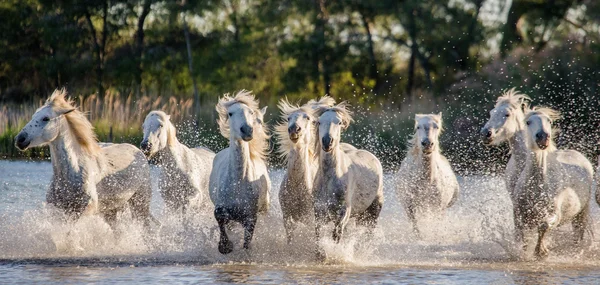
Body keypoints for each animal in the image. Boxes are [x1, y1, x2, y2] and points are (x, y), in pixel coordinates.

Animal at [15, 90, 155, 227]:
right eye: (33, 117)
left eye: (46, 118)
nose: (20, 139)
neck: (71, 173)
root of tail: (139, 151)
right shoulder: (60, 209)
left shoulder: (84, 209)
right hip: (111, 211)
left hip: (140, 204)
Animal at [209, 89, 270, 253]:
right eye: (230, 113)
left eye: (251, 112)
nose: (247, 130)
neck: (238, 182)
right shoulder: (222, 208)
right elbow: (219, 216)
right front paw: (225, 246)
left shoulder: (251, 216)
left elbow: (247, 242)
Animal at [274, 95, 336, 242]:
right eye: (288, 118)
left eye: (307, 118)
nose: (294, 130)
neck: (297, 186)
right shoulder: (287, 218)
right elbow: (290, 239)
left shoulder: (309, 218)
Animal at [312, 102, 382, 258]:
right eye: (319, 122)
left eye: (338, 122)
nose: (327, 142)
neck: (330, 180)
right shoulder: (318, 213)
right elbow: (318, 237)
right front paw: (321, 256)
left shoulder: (343, 213)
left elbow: (336, 235)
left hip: (373, 211)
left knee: (367, 235)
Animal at [516, 106, 596, 258]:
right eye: (528, 122)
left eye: (549, 120)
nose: (542, 137)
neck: (537, 186)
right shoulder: (520, 214)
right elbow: (522, 236)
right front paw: (524, 252)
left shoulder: (554, 214)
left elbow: (544, 226)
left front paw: (541, 251)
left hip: (582, 212)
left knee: (578, 233)